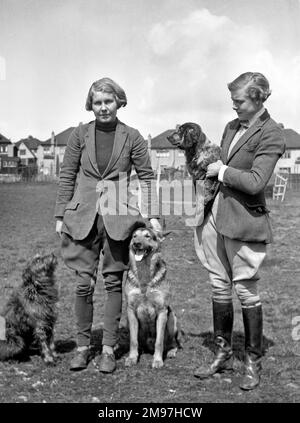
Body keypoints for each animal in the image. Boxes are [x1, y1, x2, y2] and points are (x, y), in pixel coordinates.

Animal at [123, 227, 179, 370]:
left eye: (147, 236)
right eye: (134, 236)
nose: (136, 244)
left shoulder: (162, 311)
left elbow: (159, 342)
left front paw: (158, 360)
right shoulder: (130, 310)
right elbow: (133, 341)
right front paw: (132, 358)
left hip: (172, 317)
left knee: (172, 342)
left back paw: (171, 351)